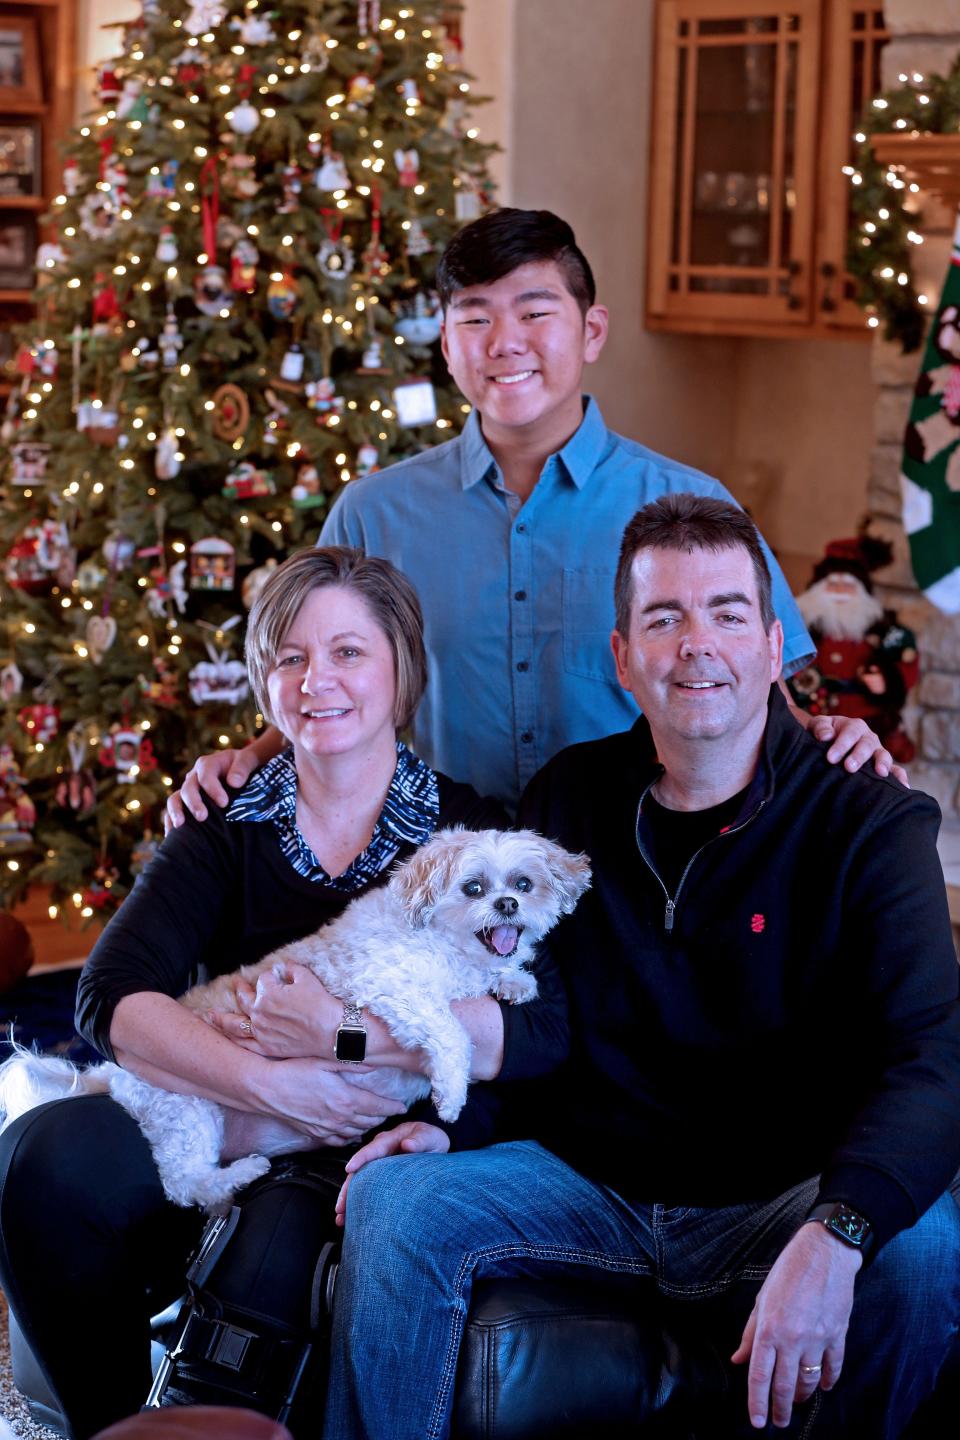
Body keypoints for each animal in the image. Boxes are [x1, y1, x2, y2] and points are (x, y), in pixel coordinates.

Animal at [0, 829, 587, 1209]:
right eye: (473, 888)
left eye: (524, 883)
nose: (508, 905)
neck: (446, 944)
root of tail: (114, 1072)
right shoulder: (390, 985)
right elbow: (451, 1030)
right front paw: (451, 1092)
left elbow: (490, 984)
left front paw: (515, 981)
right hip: (187, 1108)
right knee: (184, 1183)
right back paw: (241, 1175)